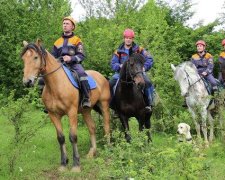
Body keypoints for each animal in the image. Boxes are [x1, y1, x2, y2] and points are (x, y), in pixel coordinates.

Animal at [20, 39, 110, 172]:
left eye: (35, 57)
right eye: (23, 59)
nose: (27, 82)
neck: (56, 85)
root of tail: (100, 76)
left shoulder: (71, 112)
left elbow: (73, 137)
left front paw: (76, 165)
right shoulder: (53, 115)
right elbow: (61, 138)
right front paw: (63, 164)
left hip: (104, 106)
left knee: (107, 127)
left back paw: (109, 149)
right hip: (86, 111)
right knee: (92, 128)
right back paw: (91, 153)